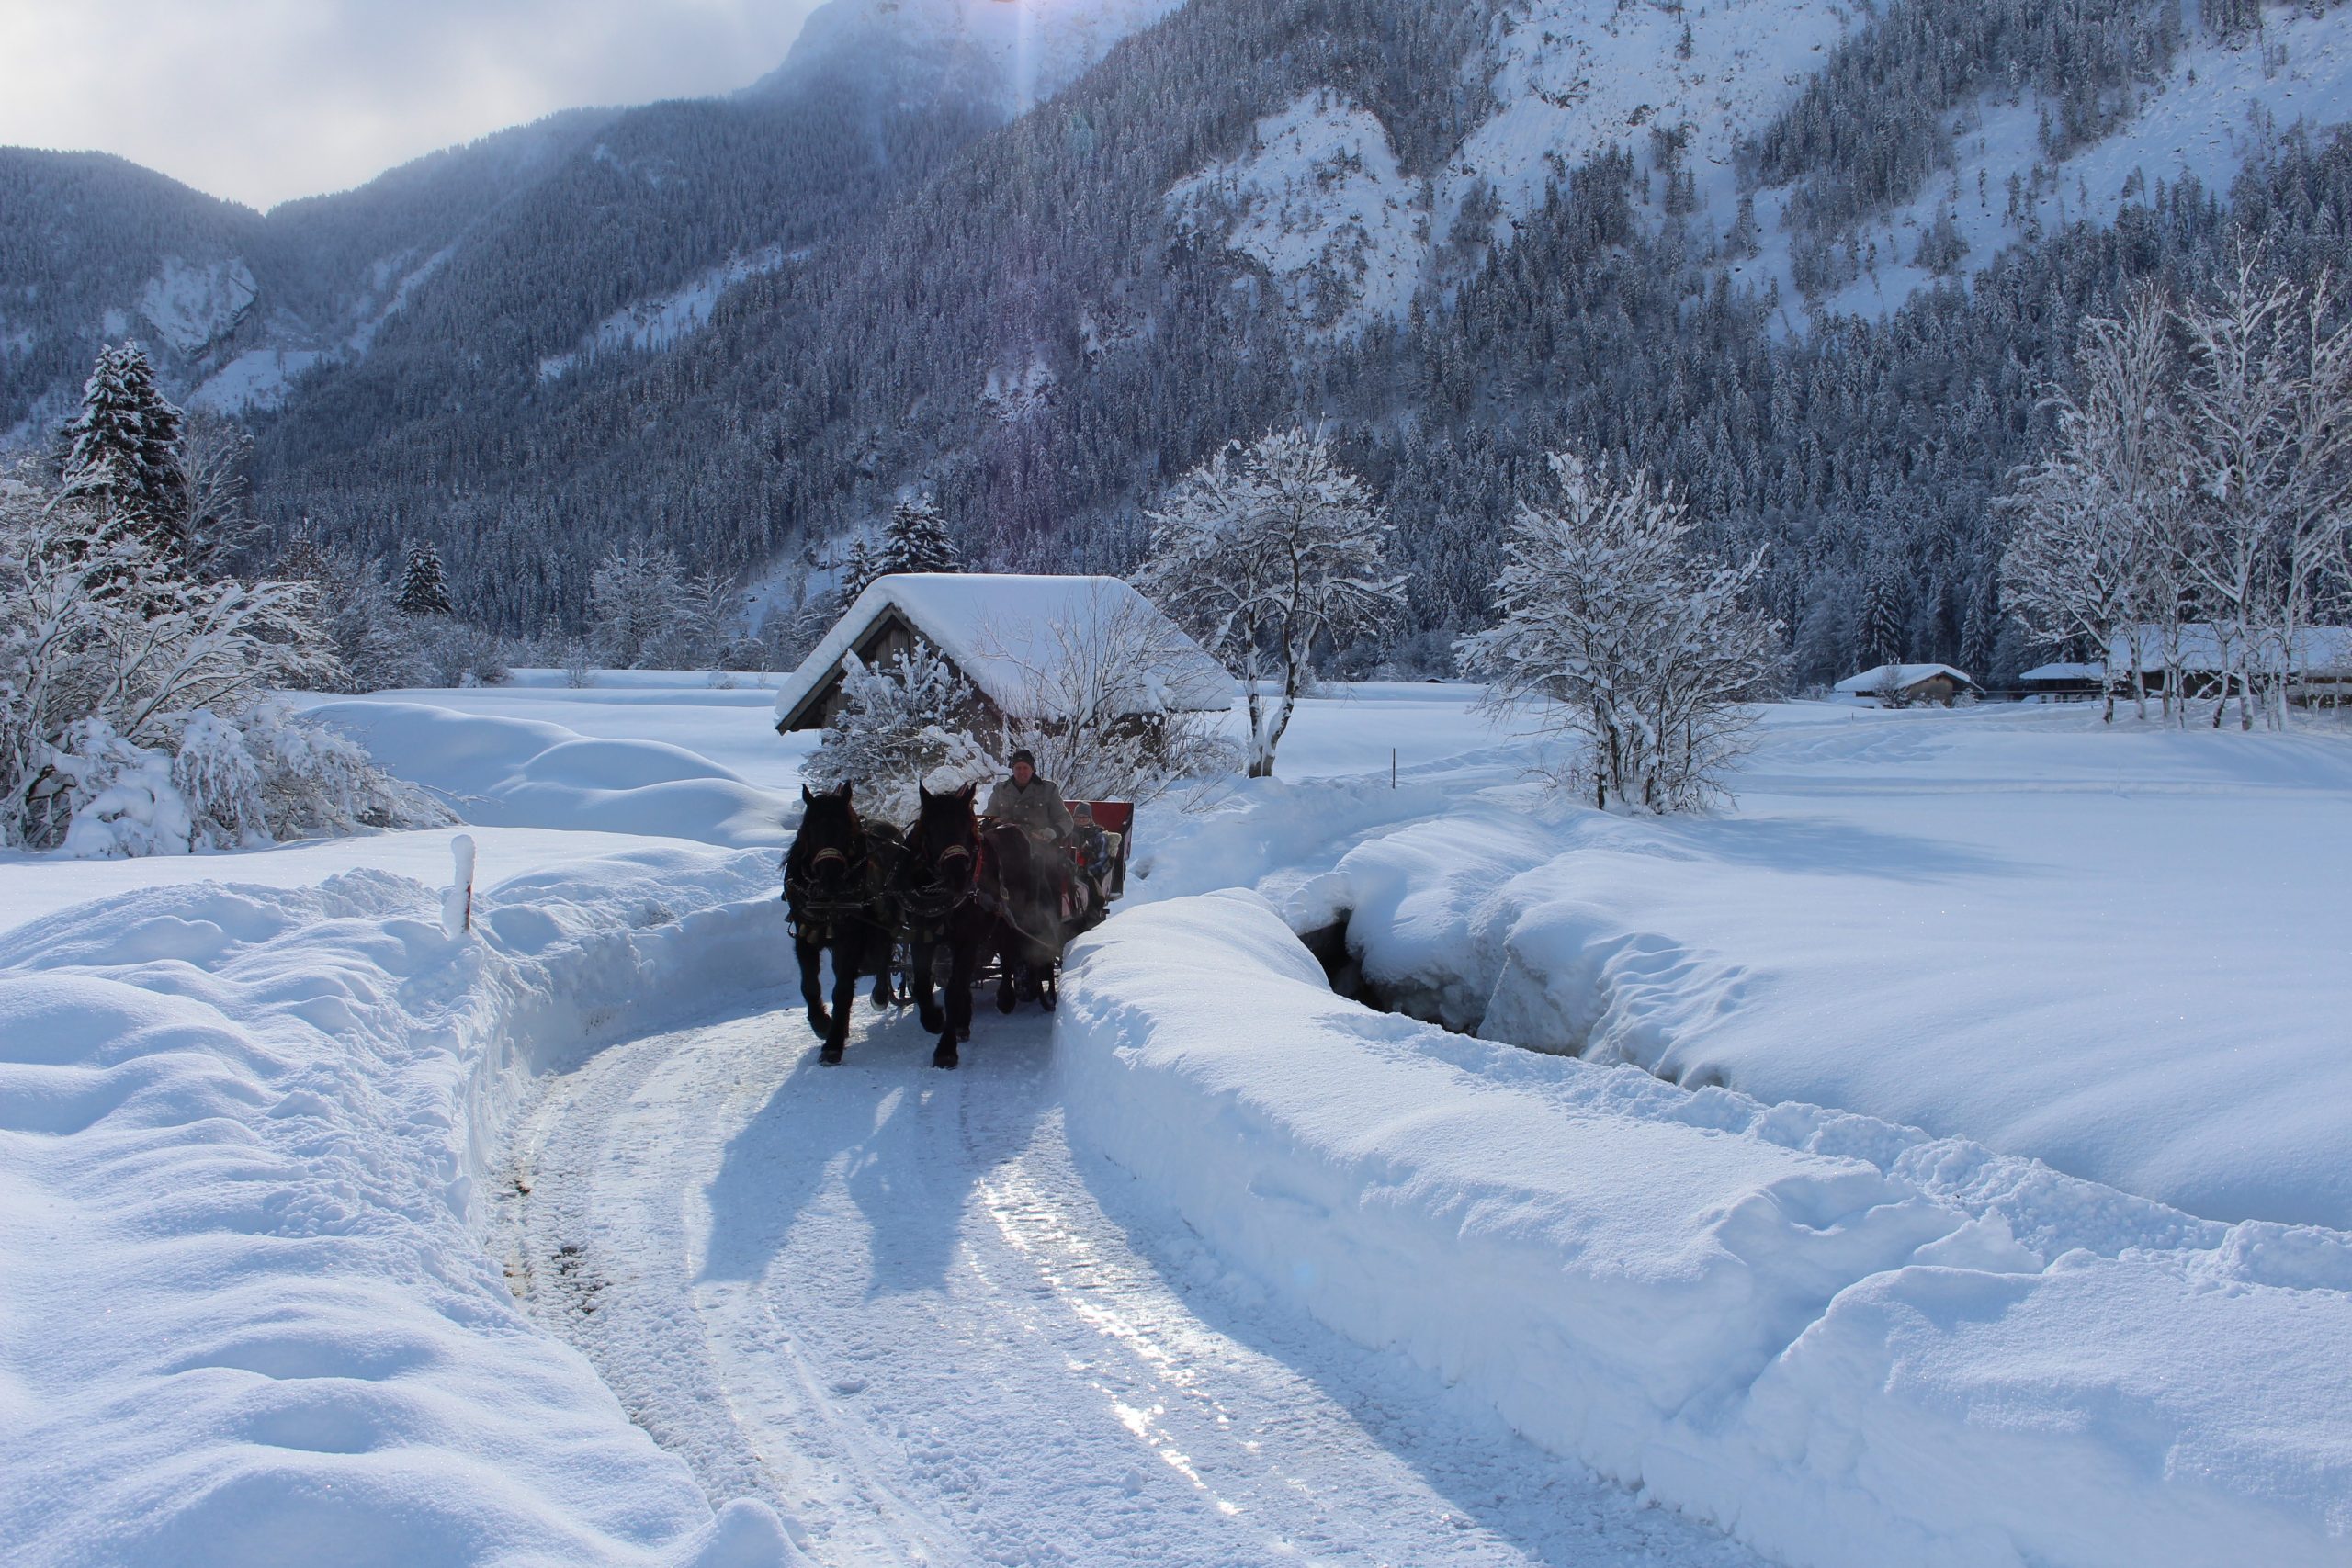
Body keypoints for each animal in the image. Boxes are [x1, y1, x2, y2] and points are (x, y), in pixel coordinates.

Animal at [790, 784, 898, 1066]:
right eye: (809, 830)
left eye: (848, 833)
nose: (830, 882)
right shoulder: (804, 936)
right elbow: (809, 986)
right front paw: (822, 1024)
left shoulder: (852, 938)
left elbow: (842, 989)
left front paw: (833, 1044)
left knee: (883, 957)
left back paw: (881, 996)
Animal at [888, 780, 983, 1066]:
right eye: (929, 830)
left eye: (969, 828)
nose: (958, 878)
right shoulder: (921, 935)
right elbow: (922, 984)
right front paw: (934, 1019)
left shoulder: (969, 939)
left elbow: (954, 991)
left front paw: (946, 1050)